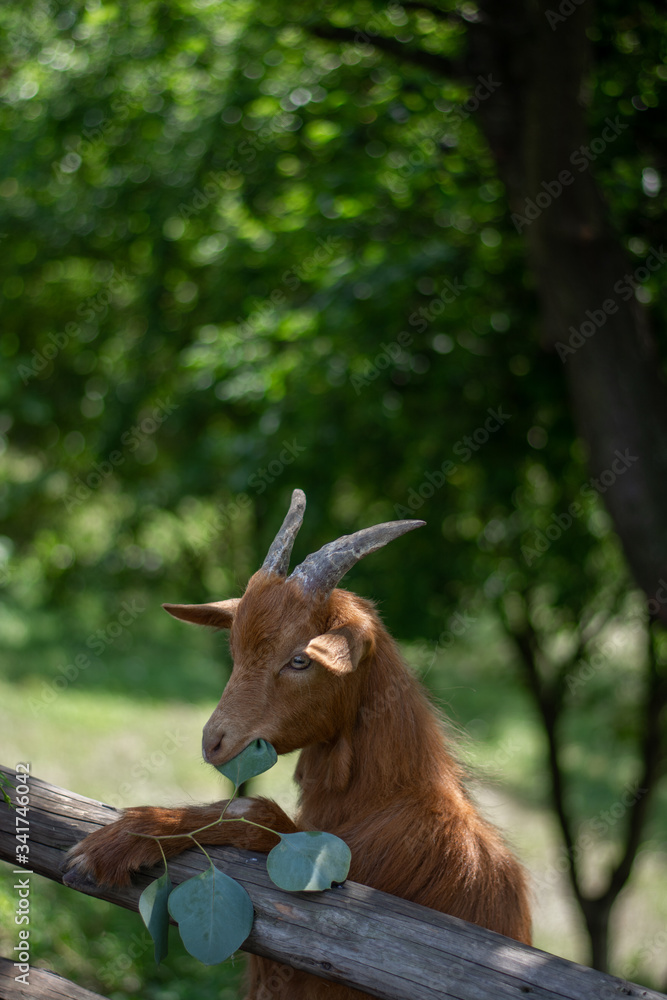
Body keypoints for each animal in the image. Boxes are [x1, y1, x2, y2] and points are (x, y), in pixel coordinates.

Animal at [64, 489, 531, 999]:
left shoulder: (342, 876)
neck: (389, 796)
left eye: (301, 660)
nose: (214, 741)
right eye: (234, 649)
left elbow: (259, 813)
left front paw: (116, 842)